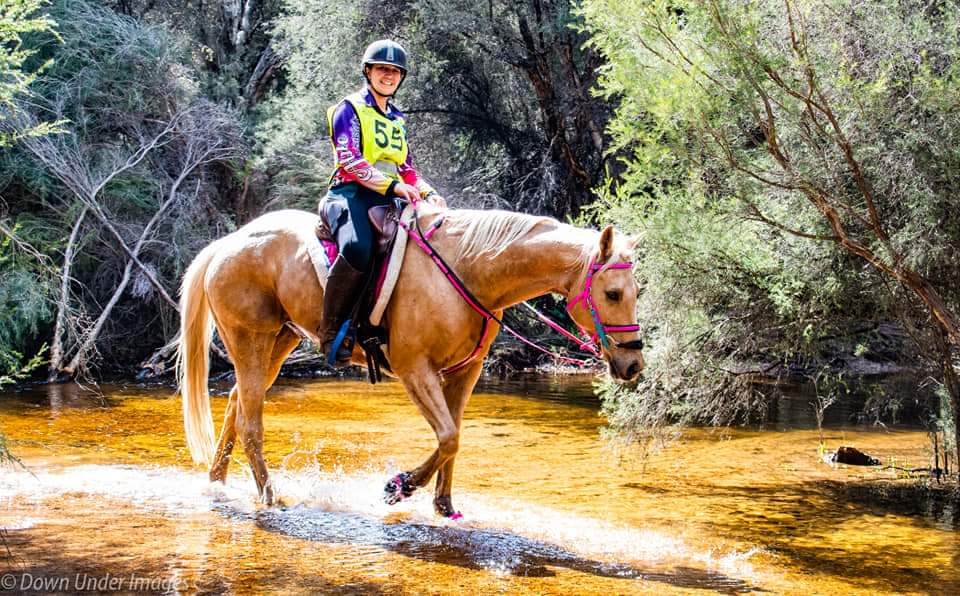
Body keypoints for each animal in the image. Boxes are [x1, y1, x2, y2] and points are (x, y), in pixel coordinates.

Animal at [180, 205, 644, 516]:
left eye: (635, 292)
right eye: (612, 293)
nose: (633, 365)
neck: (467, 272)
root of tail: (226, 244)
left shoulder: (465, 372)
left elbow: (454, 436)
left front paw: (444, 505)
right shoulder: (414, 369)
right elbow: (448, 436)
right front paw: (398, 486)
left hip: (280, 340)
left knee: (237, 403)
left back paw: (217, 482)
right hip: (251, 340)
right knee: (250, 420)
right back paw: (270, 497)